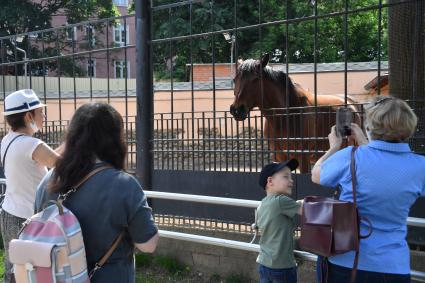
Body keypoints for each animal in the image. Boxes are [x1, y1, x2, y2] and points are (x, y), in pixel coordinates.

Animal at [229, 53, 358, 173]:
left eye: (256, 79)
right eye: (235, 80)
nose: (237, 110)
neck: (284, 117)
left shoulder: (303, 158)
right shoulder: (279, 157)